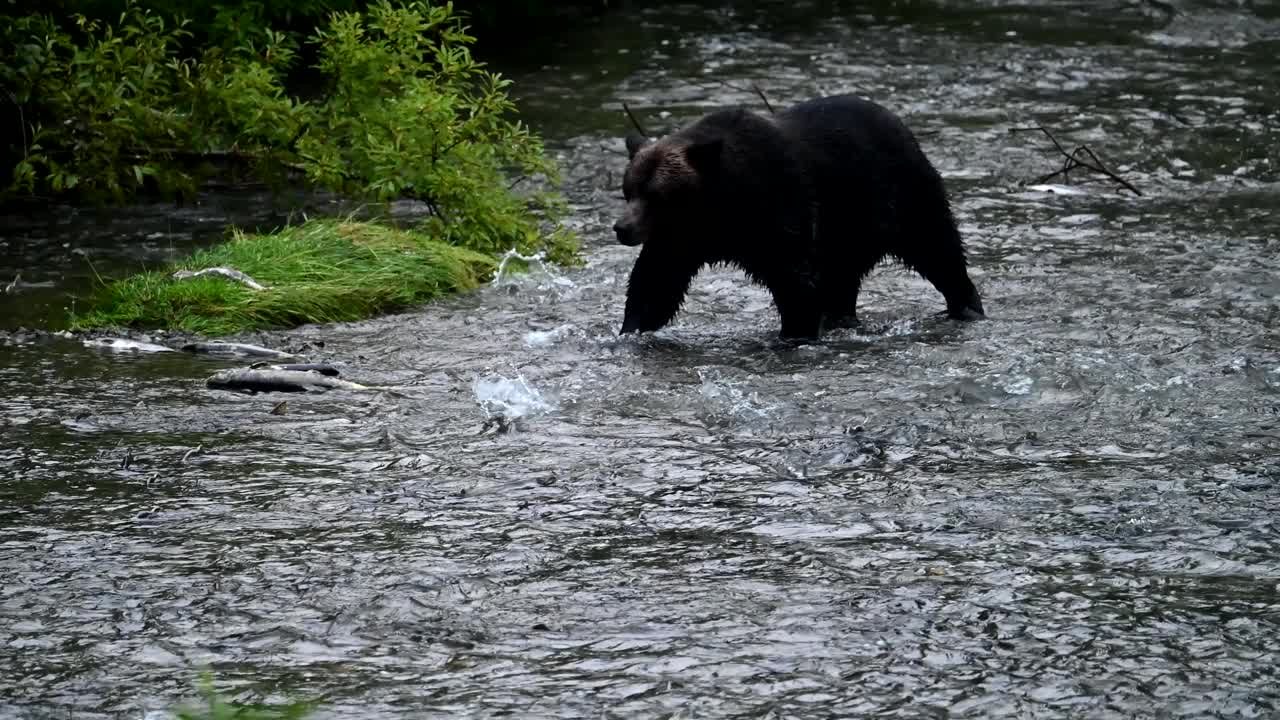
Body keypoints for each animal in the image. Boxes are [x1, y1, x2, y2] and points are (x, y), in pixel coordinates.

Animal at [614, 92, 983, 338]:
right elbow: (655, 283)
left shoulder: (779, 207)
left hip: (898, 197)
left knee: (938, 250)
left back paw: (967, 307)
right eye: (628, 190)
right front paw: (631, 329)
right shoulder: (682, 239)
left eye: (656, 195)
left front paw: (795, 333)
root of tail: (899, 122)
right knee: (842, 281)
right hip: (848, 231)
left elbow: (794, 280)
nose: (622, 227)